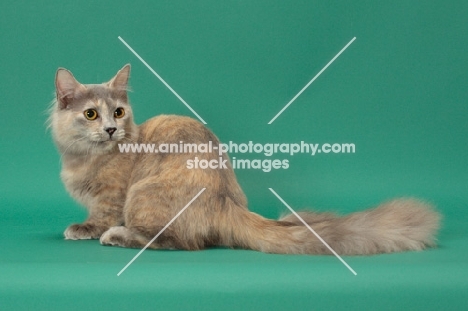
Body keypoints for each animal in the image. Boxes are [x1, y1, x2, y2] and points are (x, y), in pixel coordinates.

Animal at [49, 65, 440, 256]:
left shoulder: (112, 196)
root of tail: (227, 201)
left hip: (143, 194)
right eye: (90, 114)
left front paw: (85, 229)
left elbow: (100, 216)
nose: (112, 130)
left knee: (176, 242)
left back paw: (117, 236)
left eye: (117, 111)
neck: (82, 158)